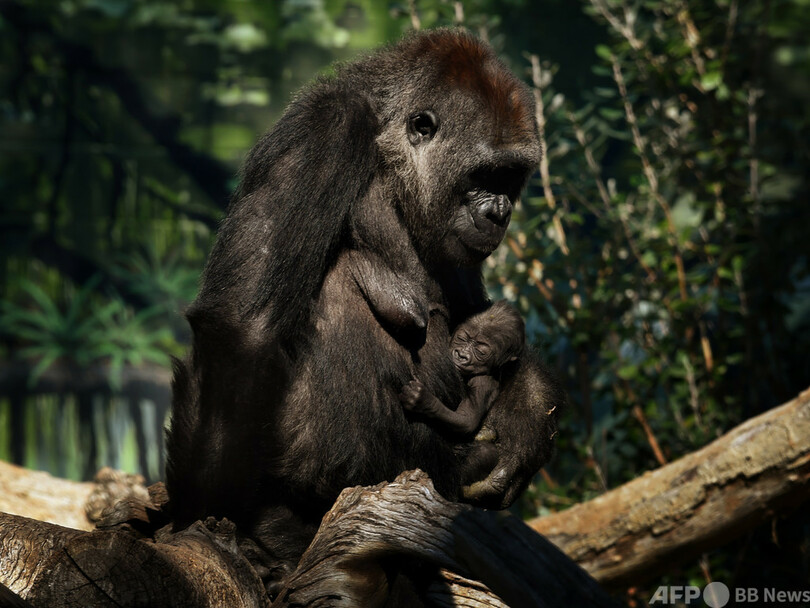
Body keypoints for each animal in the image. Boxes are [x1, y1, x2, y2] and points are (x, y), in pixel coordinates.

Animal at [400, 300, 524, 436]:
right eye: (461, 339)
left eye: (481, 352)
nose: (461, 355)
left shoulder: (483, 382)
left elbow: (466, 420)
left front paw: (422, 400)